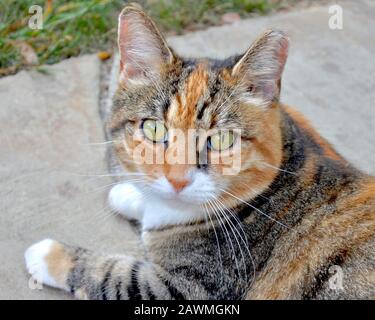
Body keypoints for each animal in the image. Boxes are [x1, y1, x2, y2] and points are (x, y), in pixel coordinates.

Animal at [24, 5, 375, 300]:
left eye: (221, 140)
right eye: (154, 129)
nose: (178, 181)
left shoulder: (193, 288)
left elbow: (116, 274)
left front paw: (48, 254)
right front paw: (128, 192)